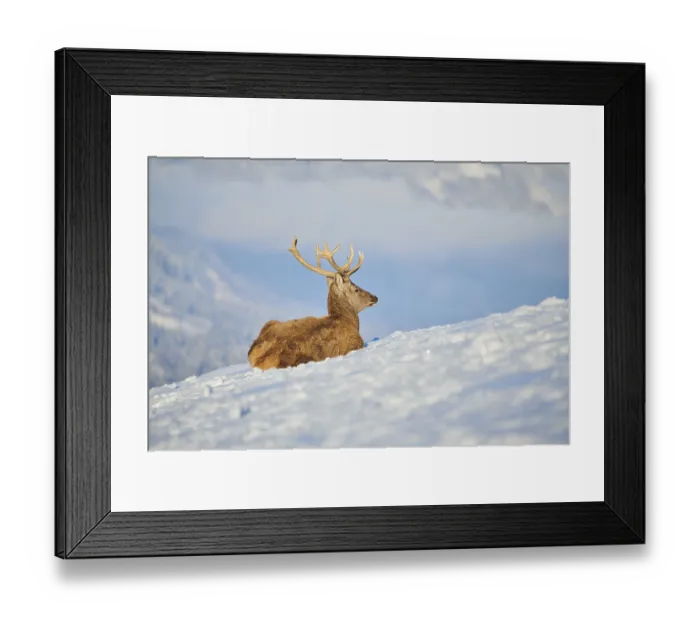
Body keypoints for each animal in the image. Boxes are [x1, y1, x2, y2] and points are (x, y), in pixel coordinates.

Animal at [247, 237, 379, 371]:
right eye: (356, 289)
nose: (374, 297)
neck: (349, 321)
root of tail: (258, 361)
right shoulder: (355, 343)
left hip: (270, 323)